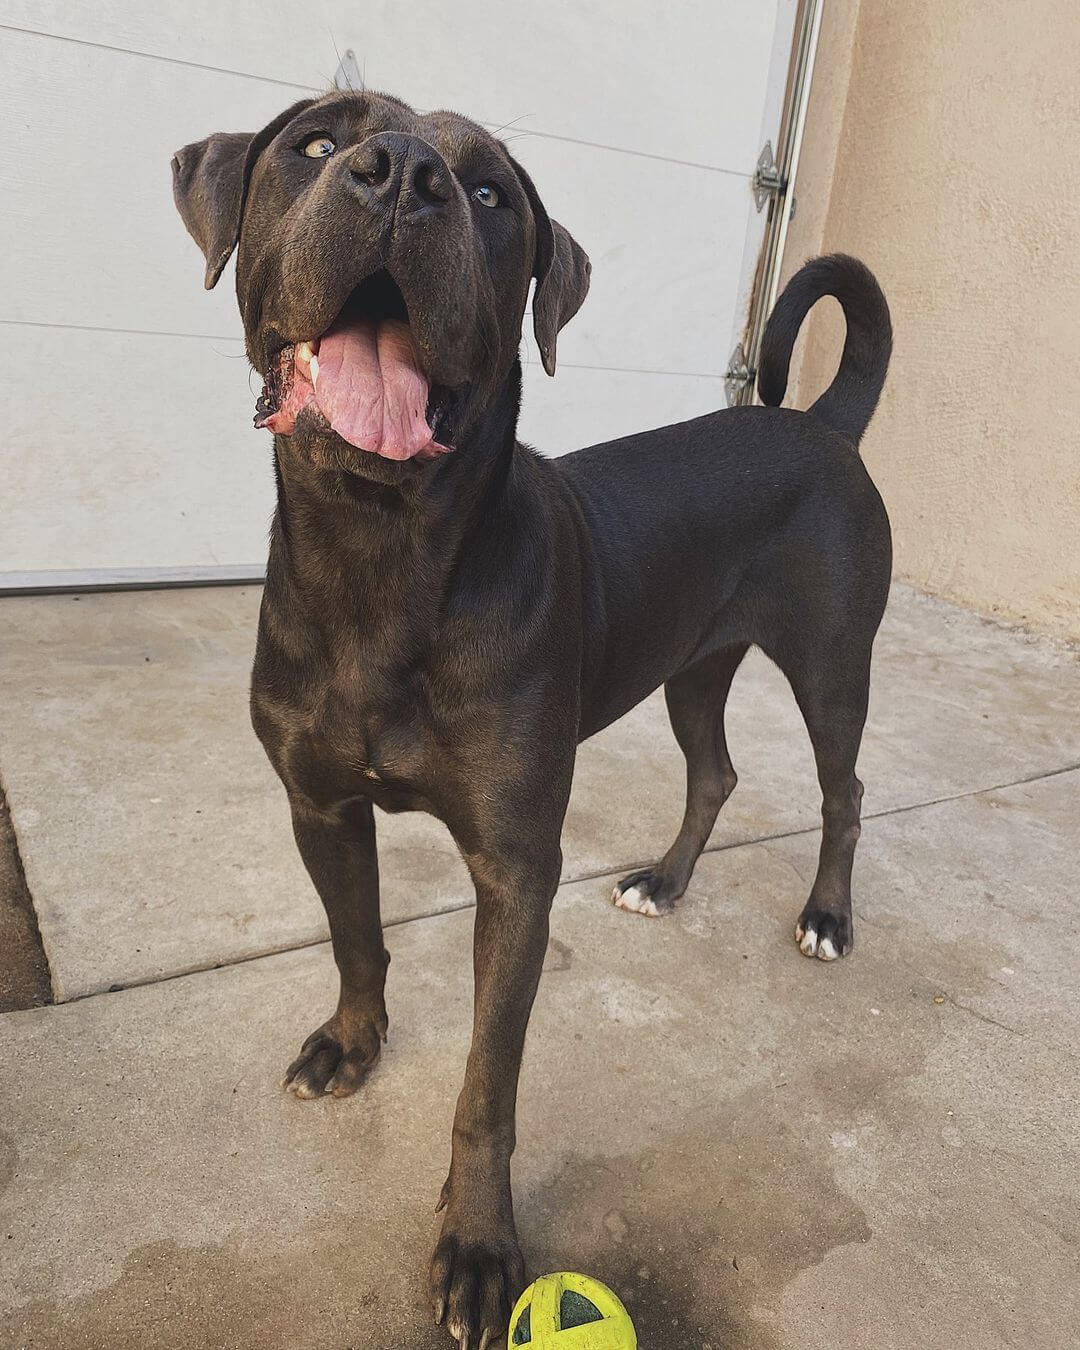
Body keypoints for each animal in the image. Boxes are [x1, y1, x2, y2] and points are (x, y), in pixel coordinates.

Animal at [170, 89, 896, 1344]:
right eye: (316, 144)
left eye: (490, 192)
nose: (401, 173)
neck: (382, 550)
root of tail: (821, 426)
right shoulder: (320, 806)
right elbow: (356, 940)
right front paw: (351, 1045)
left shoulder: (516, 871)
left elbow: (487, 1085)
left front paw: (476, 1248)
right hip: (693, 663)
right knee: (716, 772)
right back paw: (665, 882)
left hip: (830, 662)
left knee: (842, 788)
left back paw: (826, 917)